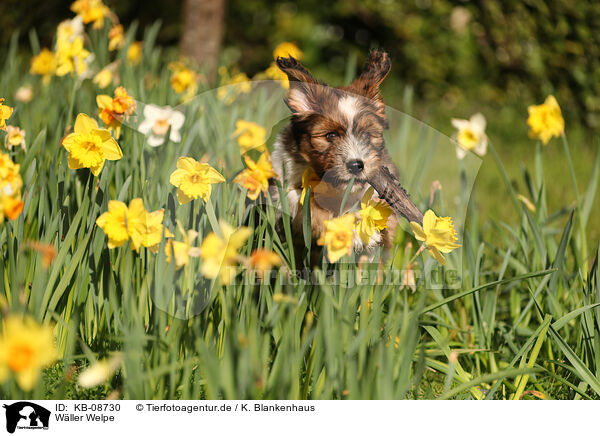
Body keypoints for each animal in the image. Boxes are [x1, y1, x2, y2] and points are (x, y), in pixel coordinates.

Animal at [270, 51, 398, 262]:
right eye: (330, 136)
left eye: (366, 136)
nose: (356, 165)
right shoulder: (285, 188)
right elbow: (309, 207)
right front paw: (352, 233)